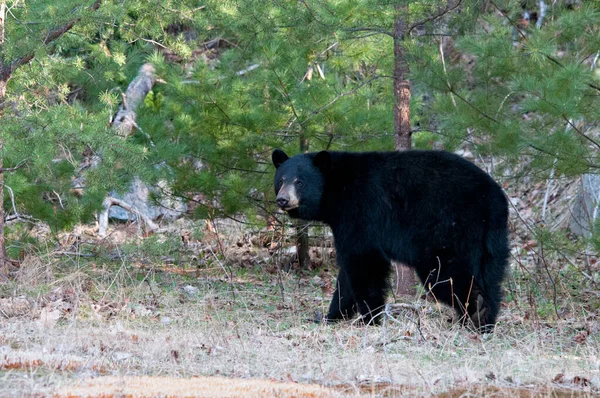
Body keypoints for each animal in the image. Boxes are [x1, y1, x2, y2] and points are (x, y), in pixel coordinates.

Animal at [274, 148, 508, 332]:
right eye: (281, 180)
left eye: (299, 181)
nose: (282, 199)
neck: (338, 189)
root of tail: (493, 198)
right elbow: (347, 276)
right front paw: (331, 316)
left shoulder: (361, 210)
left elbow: (363, 262)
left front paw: (370, 318)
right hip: (492, 237)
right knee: (491, 277)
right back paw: (485, 320)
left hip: (449, 229)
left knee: (447, 275)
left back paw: (476, 312)